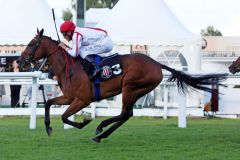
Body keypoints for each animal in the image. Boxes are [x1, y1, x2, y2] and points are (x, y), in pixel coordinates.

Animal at [18, 29, 227, 142]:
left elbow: (64, 116)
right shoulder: (69, 97)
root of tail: (156, 64)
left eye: (31, 44)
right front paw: (48, 127)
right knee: (127, 114)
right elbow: (48, 103)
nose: (20, 61)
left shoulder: (83, 99)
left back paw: (100, 128)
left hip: (130, 87)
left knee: (125, 113)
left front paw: (84, 121)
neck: (70, 67)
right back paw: (100, 134)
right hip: (136, 91)